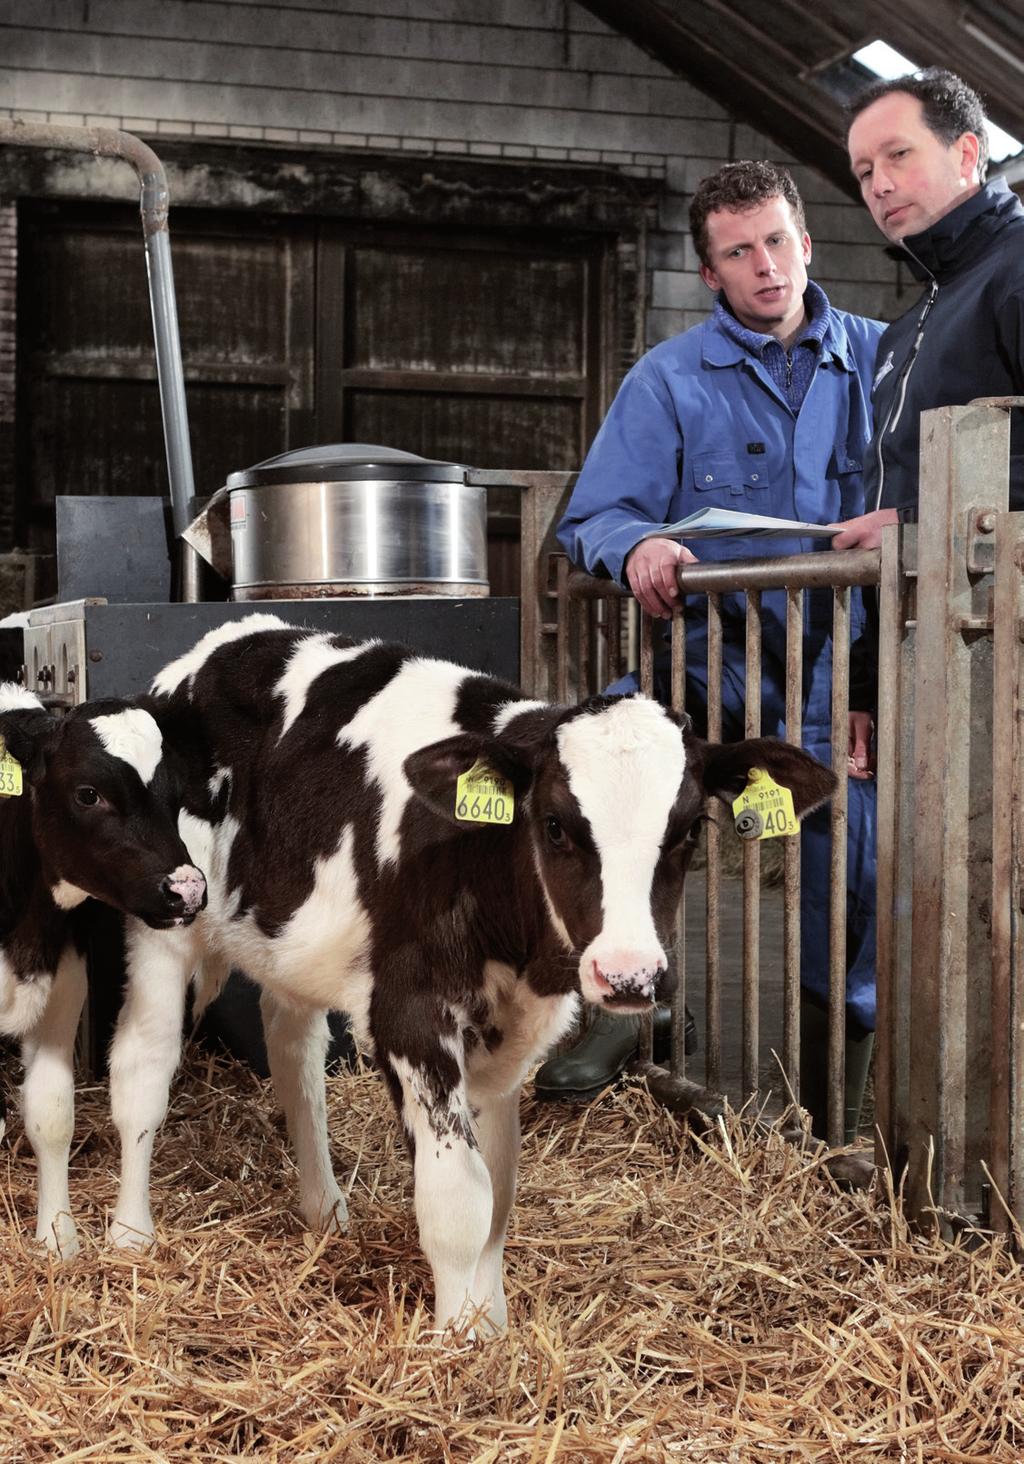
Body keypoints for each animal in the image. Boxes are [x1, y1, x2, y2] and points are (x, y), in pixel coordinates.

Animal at [0, 688, 208, 1259]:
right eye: (89, 794)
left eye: (176, 794)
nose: (187, 891)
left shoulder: (63, 990)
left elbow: (52, 1114)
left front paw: (58, 1237)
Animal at [108, 617, 837, 1329]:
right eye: (555, 825)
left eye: (688, 831)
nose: (629, 975)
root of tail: (218, 645)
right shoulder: (411, 1015)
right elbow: (459, 1200)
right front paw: (456, 1344)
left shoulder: (513, 1035)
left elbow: (499, 1195)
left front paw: (492, 1330)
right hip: (166, 915)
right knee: (144, 1065)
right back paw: (130, 1236)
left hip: (290, 941)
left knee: (297, 1058)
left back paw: (325, 1210)